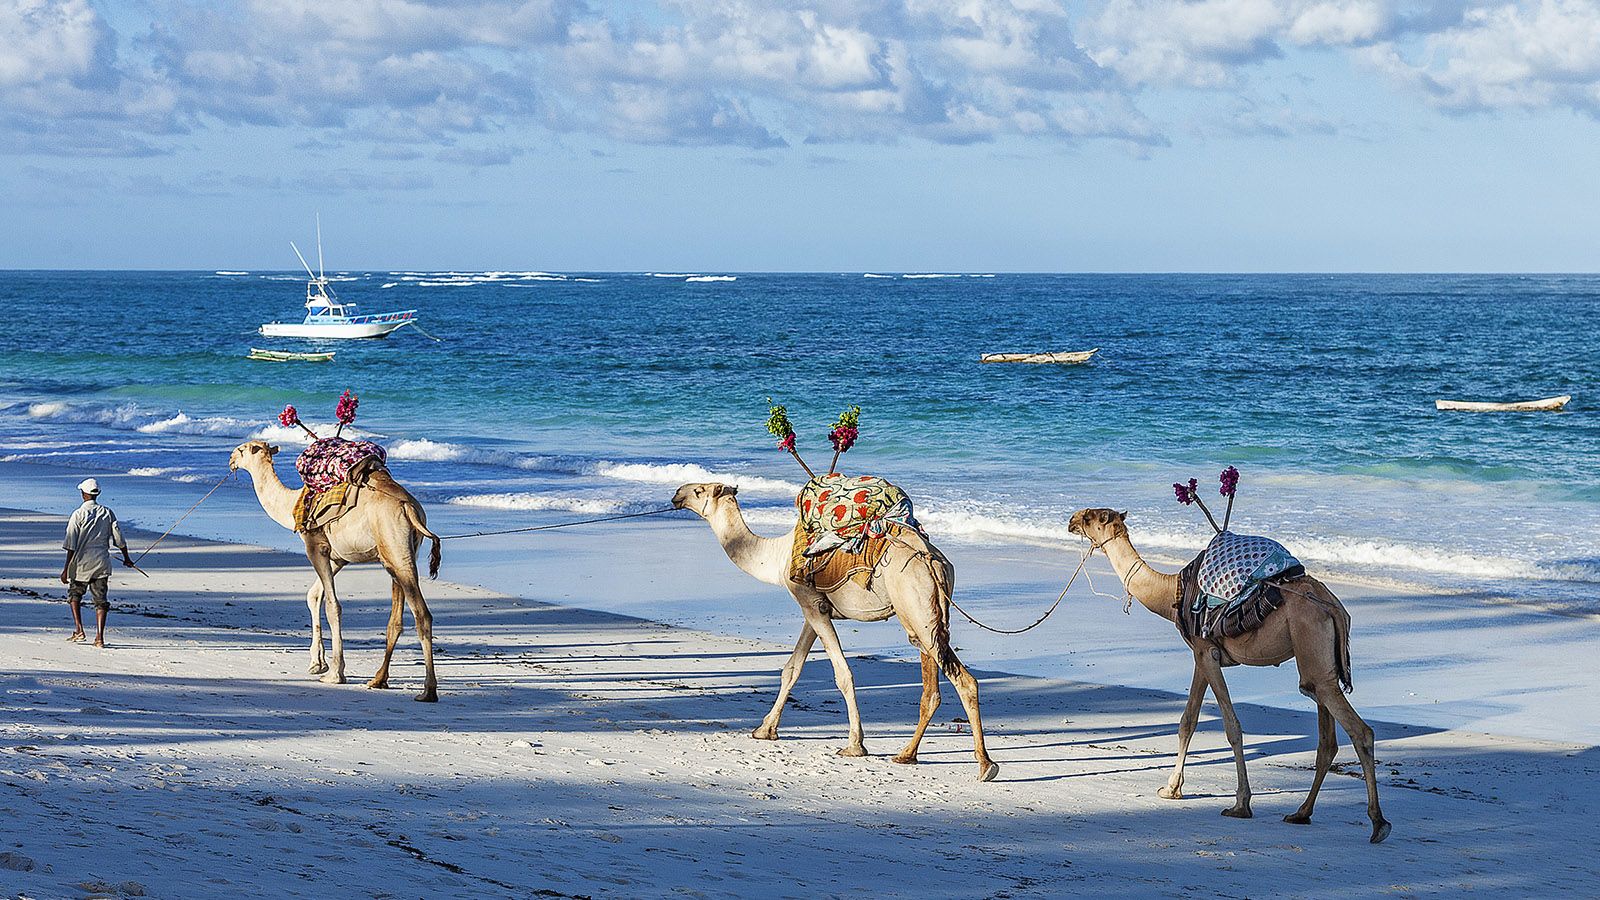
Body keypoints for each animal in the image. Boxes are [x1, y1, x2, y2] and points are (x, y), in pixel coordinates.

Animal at [229, 440, 443, 702]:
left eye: (242, 450)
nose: (230, 459)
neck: (292, 504)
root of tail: (410, 507)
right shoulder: (337, 557)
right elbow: (314, 595)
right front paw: (316, 663)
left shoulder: (316, 546)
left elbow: (333, 606)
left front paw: (334, 673)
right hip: (399, 553)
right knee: (397, 618)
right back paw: (378, 679)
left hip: (394, 545)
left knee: (422, 614)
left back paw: (427, 690)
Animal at [672, 482, 998, 781]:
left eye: (699, 491)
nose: (677, 494)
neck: (776, 556)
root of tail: (932, 560)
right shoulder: (814, 607)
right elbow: (792, 668)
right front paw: (765, 729)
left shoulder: (810, 604)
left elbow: (843, 673)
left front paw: (855, 745)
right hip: (926, 615)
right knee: (931, 685)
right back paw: (907, 755)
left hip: (915, 603)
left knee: (963, 680)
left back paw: (985, 766)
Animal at [1068, 508, 1389, 843]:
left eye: (1091, 517)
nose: (1071, 520)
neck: (1172, 593)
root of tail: (1333, 606)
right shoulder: (1201, 654)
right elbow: (1187, 721)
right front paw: (1171, 788)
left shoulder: (1206, 653)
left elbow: (1231, 726)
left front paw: (1240, 804)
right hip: (1318, 664)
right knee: (1326, 737)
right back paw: (1301, 813)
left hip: (1312, 648)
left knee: (1360, 731)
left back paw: (1378, 823)